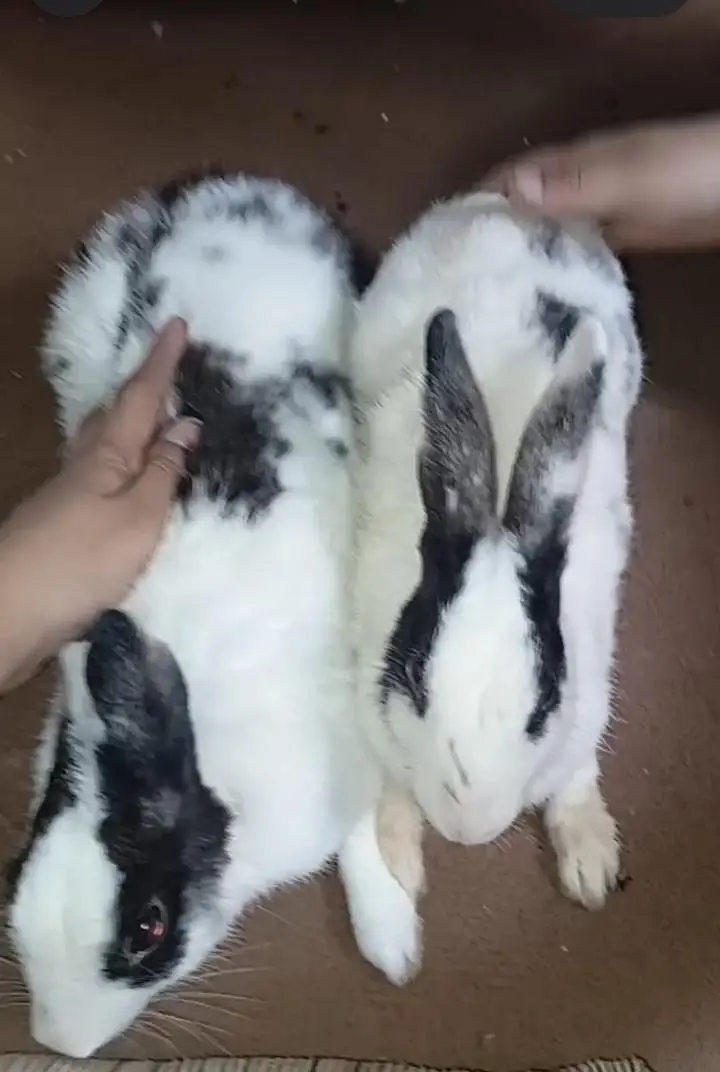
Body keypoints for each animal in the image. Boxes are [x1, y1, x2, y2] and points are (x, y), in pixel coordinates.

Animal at [5, 169, 381, 1059]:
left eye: (148, 925)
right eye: (14, 883)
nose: (62, 1045)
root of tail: (235, 191)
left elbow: (367, 830)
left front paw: (392, 937)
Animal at [338, 190, 644, 988]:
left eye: (543, 700)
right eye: (415, 675)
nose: (468, 827)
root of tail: (519, 211)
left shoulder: (584, 710)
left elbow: (575, 778)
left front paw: (591, 861)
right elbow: (387, 789)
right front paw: (400, 863)